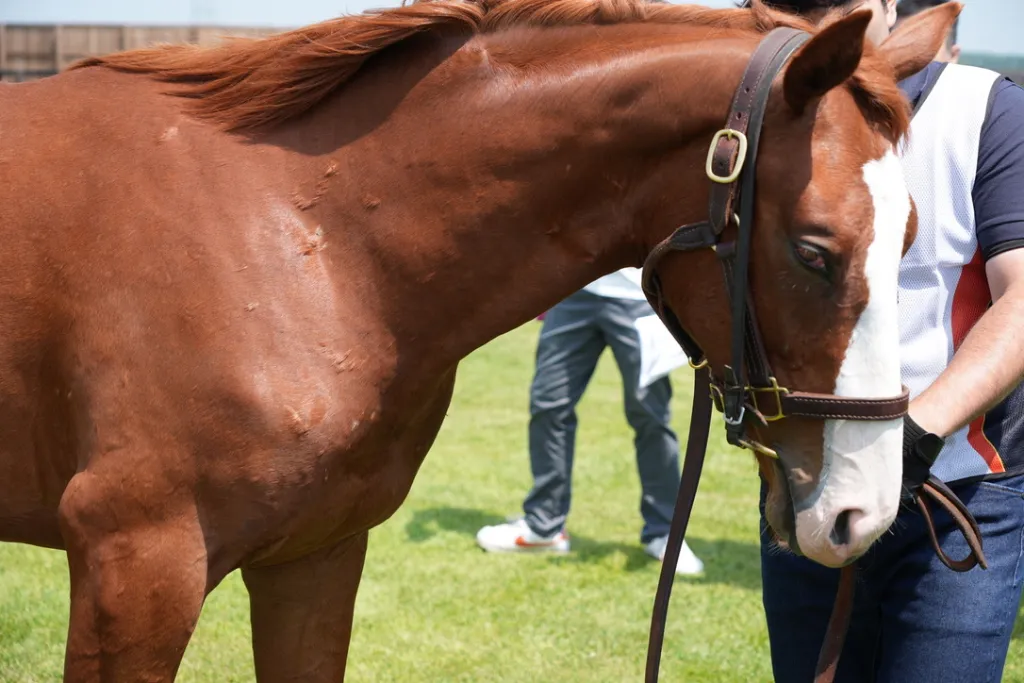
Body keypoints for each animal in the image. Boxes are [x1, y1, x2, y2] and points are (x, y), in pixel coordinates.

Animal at [0, 0, 958, 679]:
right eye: (814, 250)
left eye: (909, 236)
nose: (864, 512)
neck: (311, 237)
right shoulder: (135, 568)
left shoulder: (314, 557)